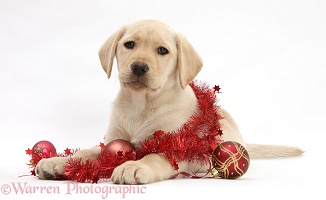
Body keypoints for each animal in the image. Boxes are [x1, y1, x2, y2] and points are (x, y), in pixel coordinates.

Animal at [35, 19, 304, 184]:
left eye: (162, 51)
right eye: (129, 44)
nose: (139, 67)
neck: (140, 106)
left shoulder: (176, 148)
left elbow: (154, 157)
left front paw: (134, 166)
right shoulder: (113, 142)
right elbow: (88, 151)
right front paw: (59, 162)